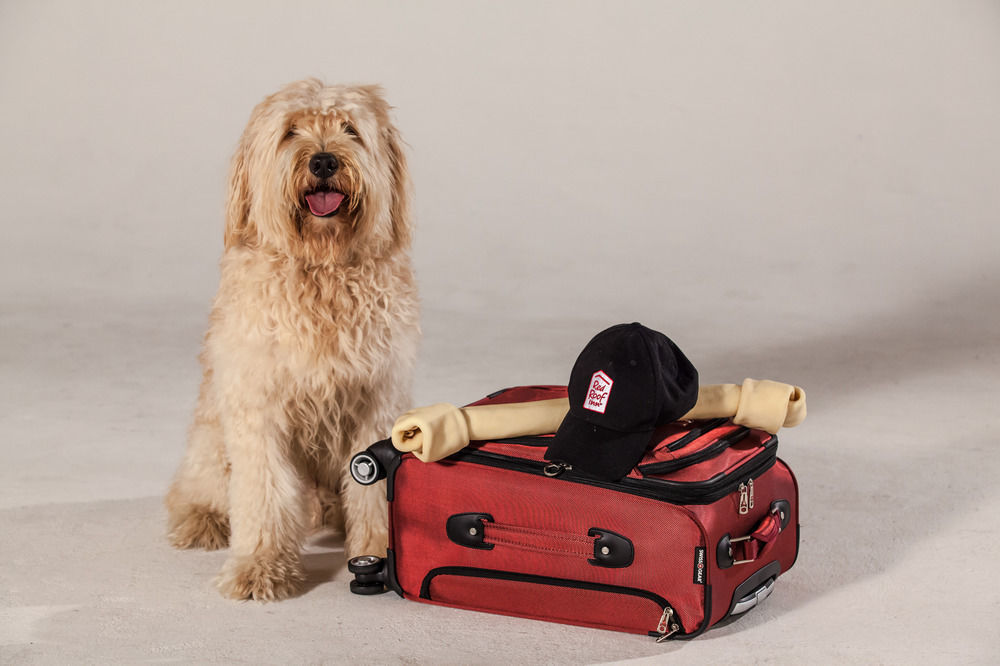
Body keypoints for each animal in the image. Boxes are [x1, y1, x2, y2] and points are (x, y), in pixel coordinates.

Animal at [164, 80, 418, 600]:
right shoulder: (257, 405)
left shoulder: (379, 399)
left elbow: (372, 492)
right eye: (291, 131)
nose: (323, 161)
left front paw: (380, 549)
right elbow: (263, 491)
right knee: (195, 487)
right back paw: (202, 518)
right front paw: (260, 566)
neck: (321, 270)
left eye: (349, 129)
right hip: (211, 436)